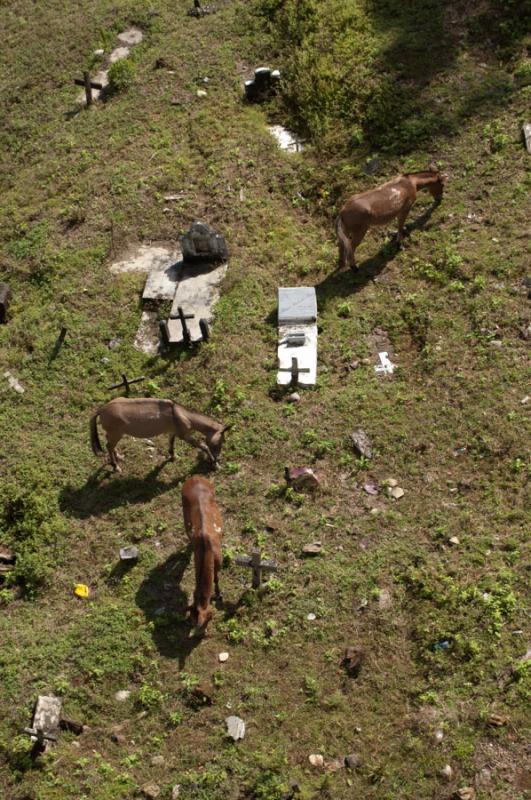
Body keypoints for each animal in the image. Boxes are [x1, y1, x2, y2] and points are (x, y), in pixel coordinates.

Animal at [90, 396, 231, 472]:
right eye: (221, 441)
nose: (218, 457)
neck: (181, 415)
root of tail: (101, 410)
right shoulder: (185, 435)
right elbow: (204, 446)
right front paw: (215, 465)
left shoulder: (172, 431)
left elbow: (171, 443)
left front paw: (173, 456)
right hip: (116, 434)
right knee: (108, 446)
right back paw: (116, 466)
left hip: (115, 434)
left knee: (110, 445)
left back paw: (118, 456)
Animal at [183, 476, 224, 636]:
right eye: (191, 623)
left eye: (204, 622)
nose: (203, 634)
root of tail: (194, 477)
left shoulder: (219, 560)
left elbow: (216, 578)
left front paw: (218, 593)